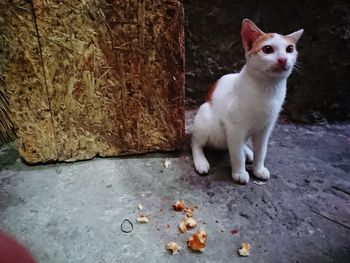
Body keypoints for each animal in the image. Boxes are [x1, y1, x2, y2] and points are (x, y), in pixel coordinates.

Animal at [191, 18, 304, 185]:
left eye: (289, 49)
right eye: (267, 49)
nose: (283, 59)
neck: (267, 89)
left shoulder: (265, 129)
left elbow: (261, 151)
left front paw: (258, 169)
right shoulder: (235, 127)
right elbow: (236, 154)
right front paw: (239, 172)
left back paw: (248, 151)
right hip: (205, 118)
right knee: (197, 143)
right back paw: (201, 161)